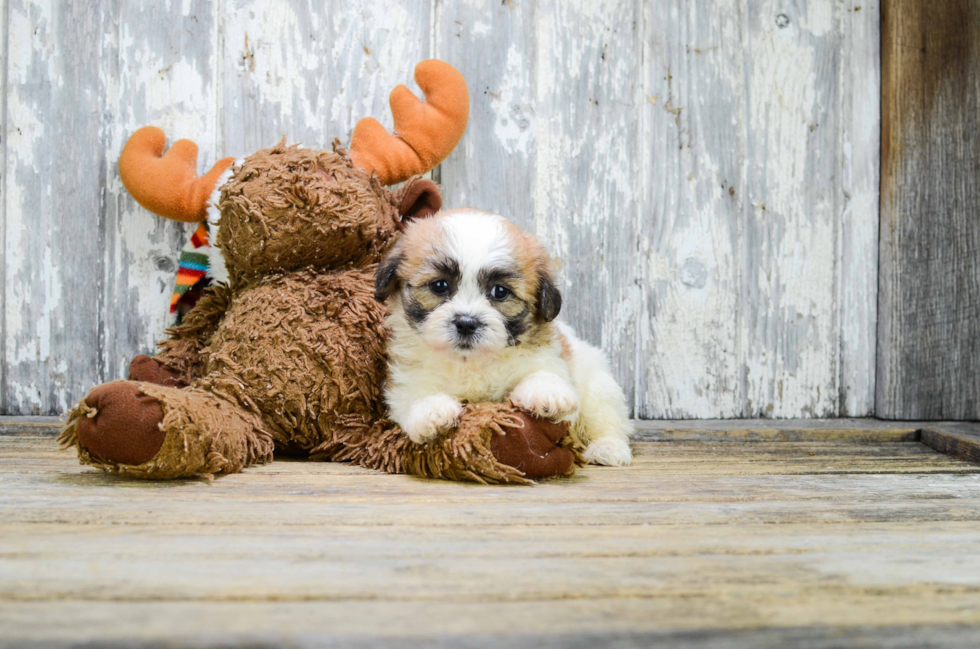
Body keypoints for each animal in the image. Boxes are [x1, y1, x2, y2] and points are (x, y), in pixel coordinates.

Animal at [376, 208, 636, 466]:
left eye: (499, 291)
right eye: (439, 285)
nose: (466, 323)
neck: (471, 362)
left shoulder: (549, 357)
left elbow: (544, 373)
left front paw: (547, 393)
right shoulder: (406, 378)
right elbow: (412, 395)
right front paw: (431, 411)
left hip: (599, 388)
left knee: (607, 420)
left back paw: (608, 448)